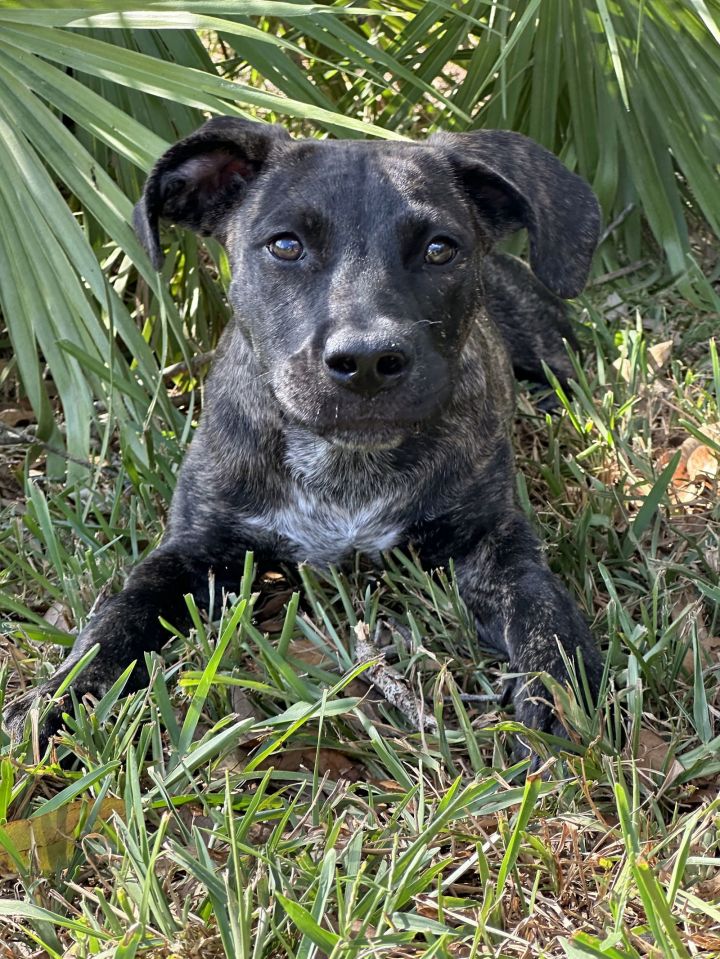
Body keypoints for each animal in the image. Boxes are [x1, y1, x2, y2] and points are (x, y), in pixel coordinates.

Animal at [4, 118, 600, 752]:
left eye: (440, 249)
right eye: (286, 245)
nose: (367, 361)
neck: (344, 463)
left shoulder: (494, 542)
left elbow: (542, 609)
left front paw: (563, 696)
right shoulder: (191, 554)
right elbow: (120, 615)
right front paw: (62, 695)